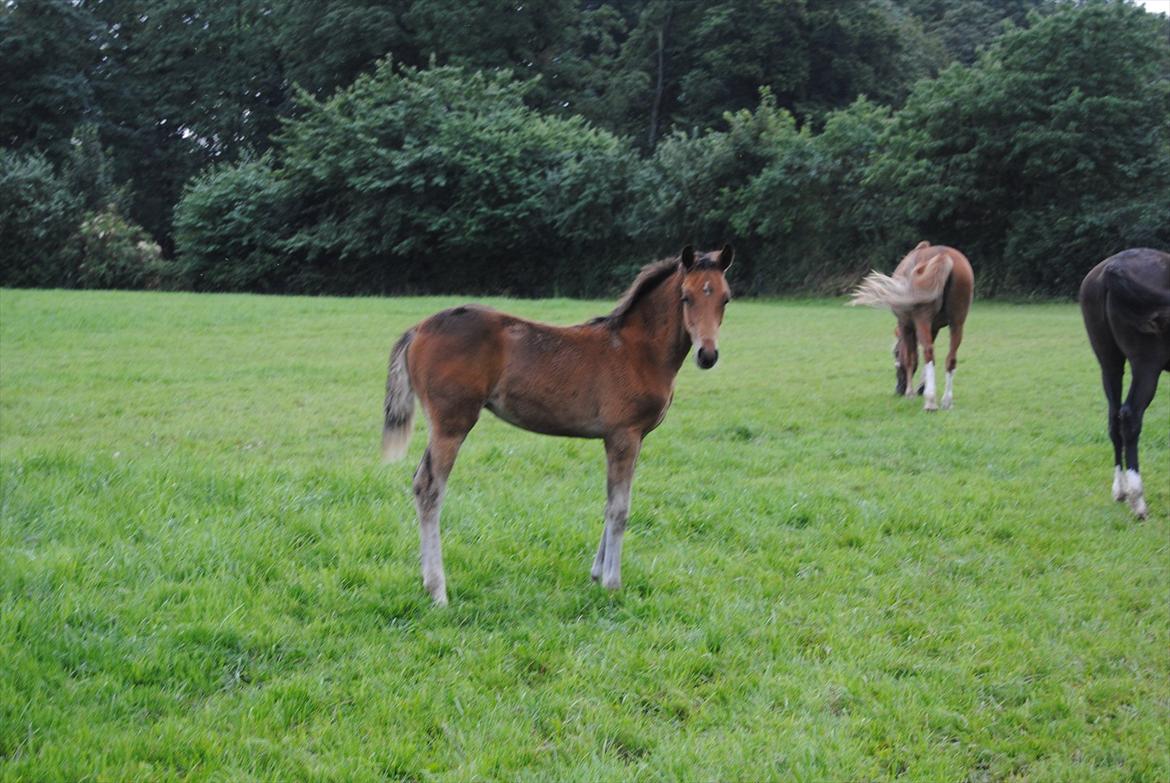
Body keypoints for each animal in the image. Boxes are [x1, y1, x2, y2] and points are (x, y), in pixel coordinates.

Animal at [381, 245, 730, 603]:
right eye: (686, 297)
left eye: (725, 299)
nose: (707, 355)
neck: (637, 350)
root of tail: (418, 329)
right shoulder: (624, 436)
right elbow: (619, 509)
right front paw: (612, 583)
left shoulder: (629, 438)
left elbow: (610, 502)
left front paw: (596, 574)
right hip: (451, 425)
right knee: (430, 489)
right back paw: (438, 591)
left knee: (418, 482)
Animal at [856, 239, 973, 409]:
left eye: (896, 353)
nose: (898, 389)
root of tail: (943, 255)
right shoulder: (934, 328)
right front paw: (921, 388)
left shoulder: (905, 325)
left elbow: (911, 358)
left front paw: (910, 393)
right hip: (957, 323)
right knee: (950, 358)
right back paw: (946, 401)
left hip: (921, 320)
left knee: (928, 352)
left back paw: (930, 402)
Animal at [1081, 249, 1165, 519]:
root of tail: (1113, 267)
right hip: (1146, 365)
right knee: (1130, 416)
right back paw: (1137, 499)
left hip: (1109, 363)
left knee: (1114, 418)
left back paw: (1120, 490)